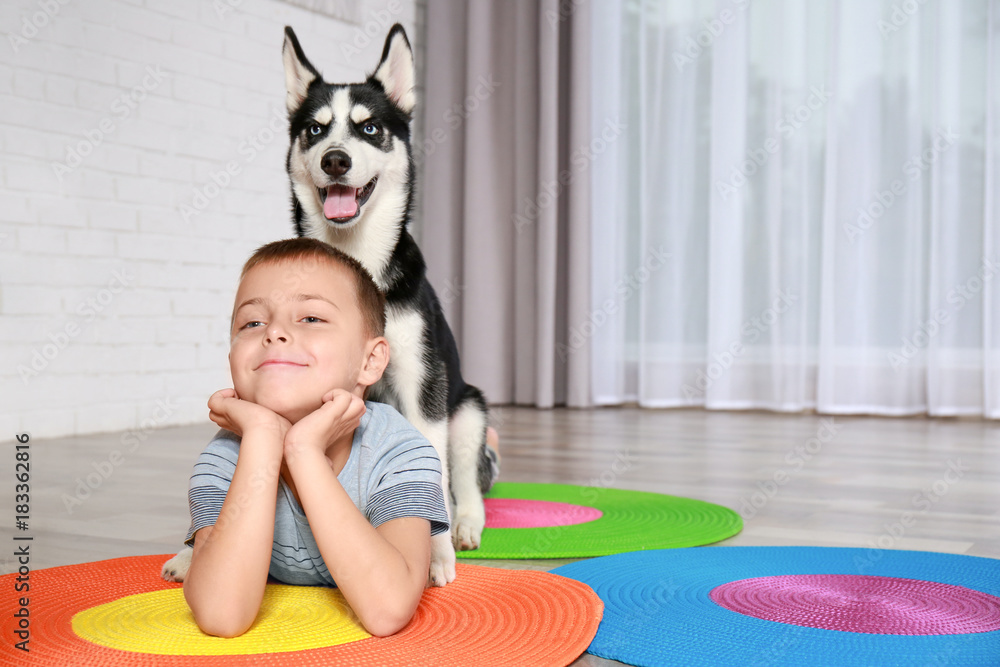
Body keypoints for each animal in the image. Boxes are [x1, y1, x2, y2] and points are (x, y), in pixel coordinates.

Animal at [162, 24, 490, 588]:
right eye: (314, 130)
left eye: (371, 127)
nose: (336, 158)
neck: (356, 257)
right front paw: (190, 552)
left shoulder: (422, 380)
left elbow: (431, 460)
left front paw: (438, 551)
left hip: (467, 407)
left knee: (464, 478)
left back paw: (466, 524)